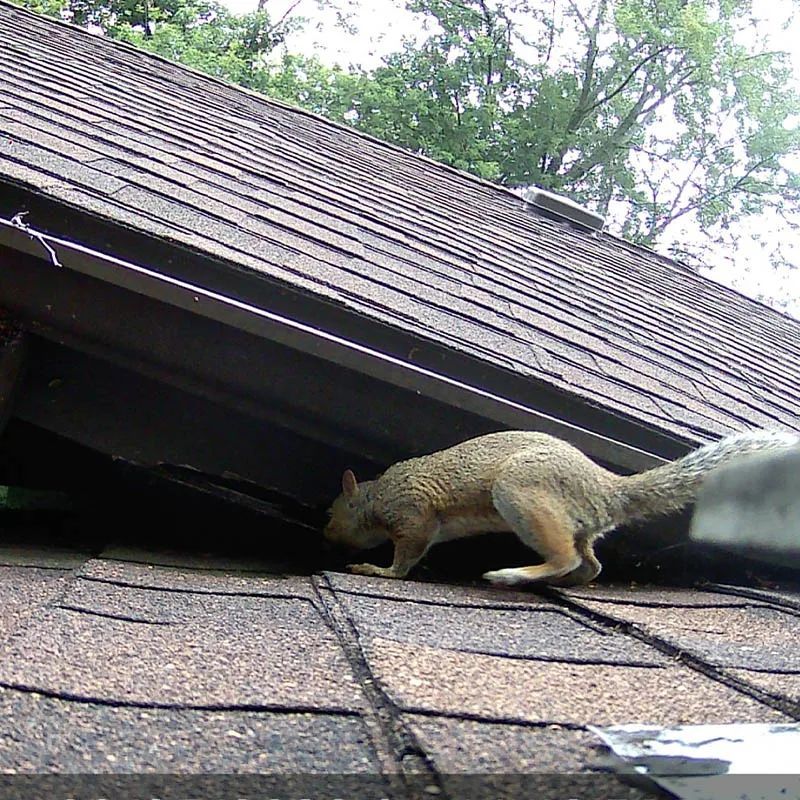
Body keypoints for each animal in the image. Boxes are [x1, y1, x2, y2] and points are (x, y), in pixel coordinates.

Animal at [323, 429, 799, 587]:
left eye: (332, 512)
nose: (326, 534)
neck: (378, 494)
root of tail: (607, 489)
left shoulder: (413, 513)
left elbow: (406, 557)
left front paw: (376, 570)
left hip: (522, 491)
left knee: (565, 555)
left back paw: (514, 575)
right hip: (574, 522)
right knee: (590, 564)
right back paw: (565, 581)